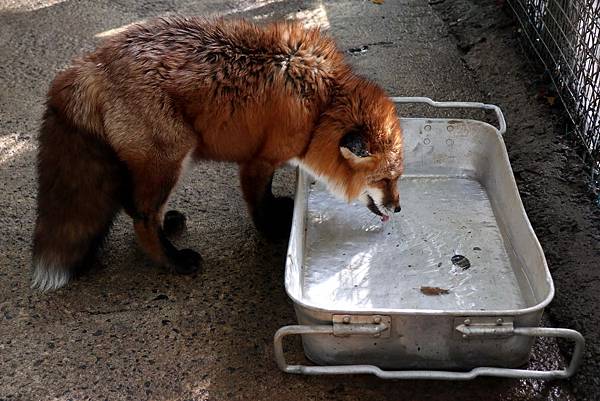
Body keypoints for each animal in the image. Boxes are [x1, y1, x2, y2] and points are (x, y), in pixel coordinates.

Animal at [31, 16, 404, 290]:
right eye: (385, 179)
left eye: (397, 178)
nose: (398, 208)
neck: (321, 105)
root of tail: (91, 63)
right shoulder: (257, 160)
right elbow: (259, 203)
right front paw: (271, 232)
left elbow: (267, 196)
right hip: (171, 157)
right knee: (142, 216)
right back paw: (173, 261)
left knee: (133, 204)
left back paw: (169, 227)